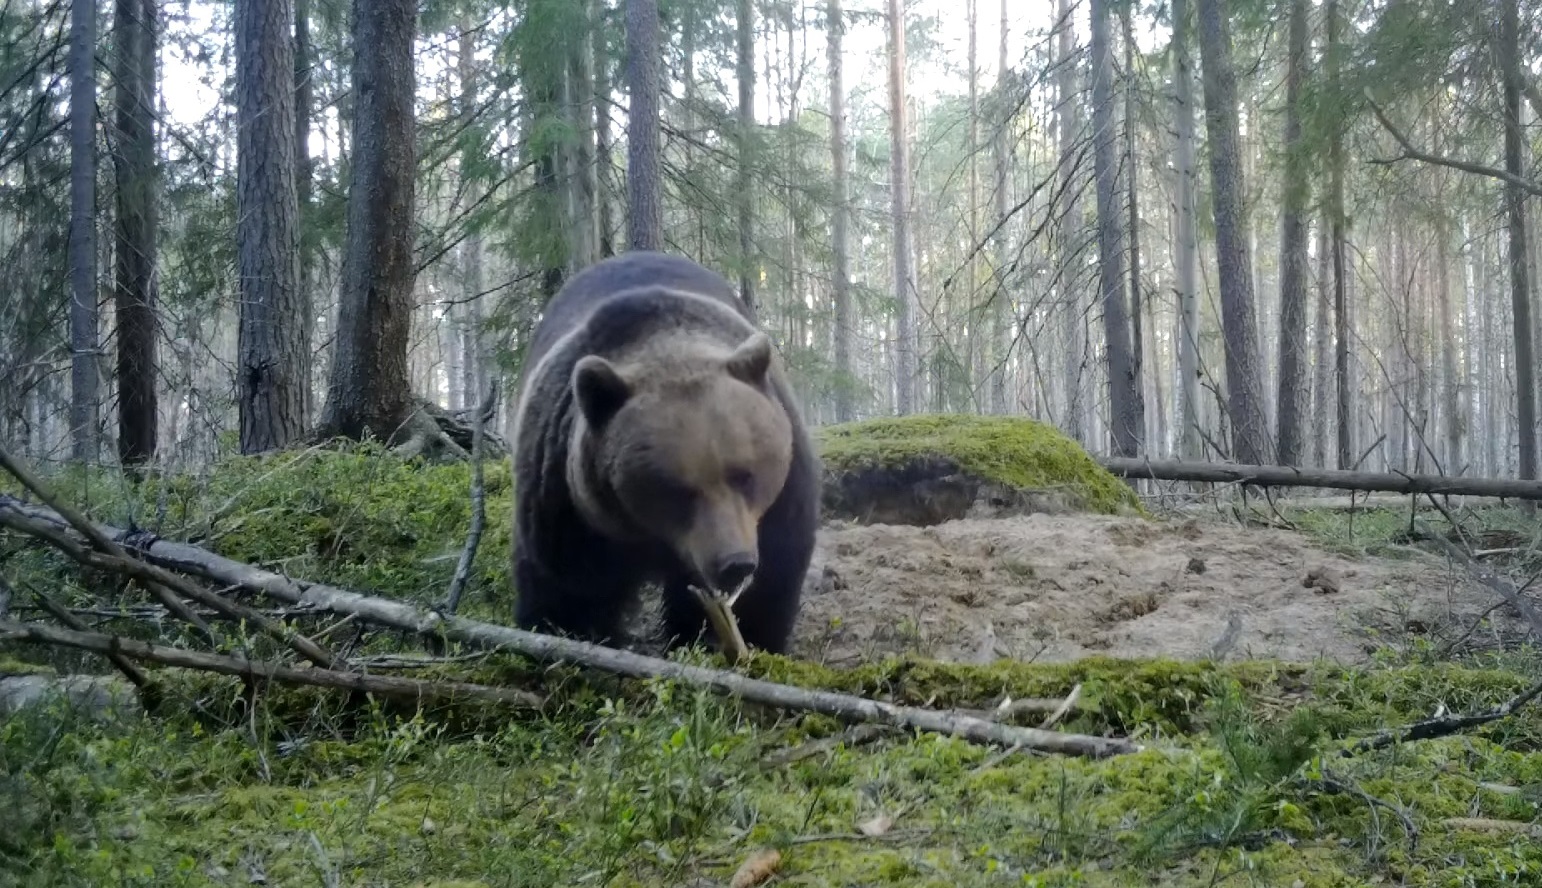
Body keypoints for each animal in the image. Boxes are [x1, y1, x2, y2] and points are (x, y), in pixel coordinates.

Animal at [505, 249, 820, 653]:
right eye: (677, 490)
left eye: (745, 475)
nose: (734, 563)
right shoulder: (565, 499)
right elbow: (565, 588)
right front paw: (563, 629)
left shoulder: (782, 498)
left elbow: (774, 572)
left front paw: (750, 638)